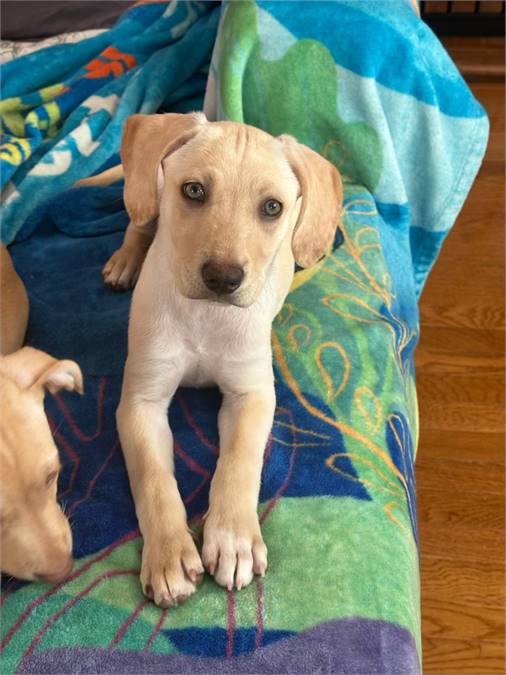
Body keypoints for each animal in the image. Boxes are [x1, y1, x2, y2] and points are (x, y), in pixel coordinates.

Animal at [87, 113, 342, 608]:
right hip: (147, 194)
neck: (207, 315)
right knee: (140, 218)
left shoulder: (253, 393)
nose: (223, 278)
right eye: (194, 191)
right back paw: (126, 260)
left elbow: (240, 461)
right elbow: (154, 478)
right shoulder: (140, 402)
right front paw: (169, 554)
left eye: (272, 207)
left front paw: (233, 539)